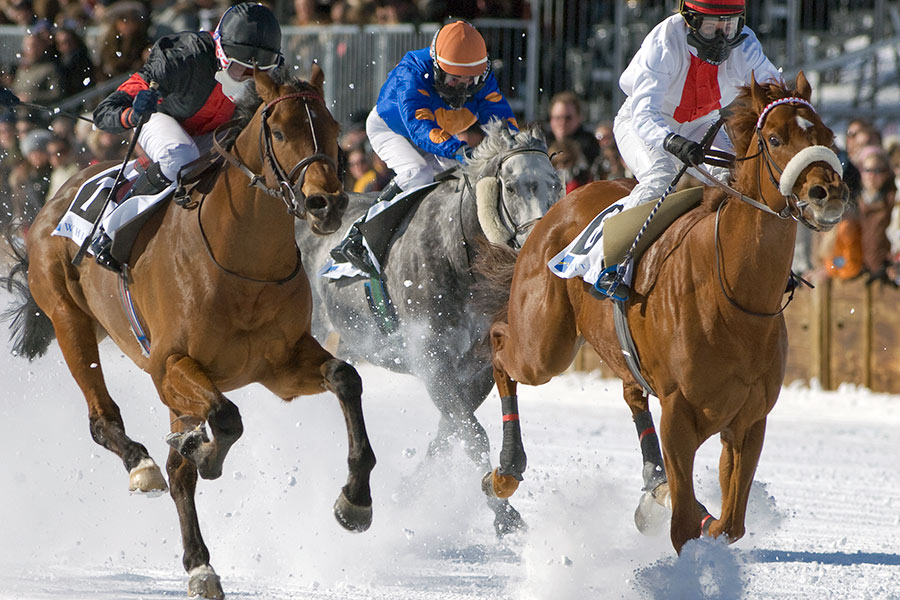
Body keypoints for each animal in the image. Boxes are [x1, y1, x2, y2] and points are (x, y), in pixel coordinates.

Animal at [1, 64, 374, 596]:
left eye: (333, 127)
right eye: (281, 132)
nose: (327, 204)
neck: (241, 261)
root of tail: (55, 199)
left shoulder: (280, 365)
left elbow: (346, 377)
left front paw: (355, 501)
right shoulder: (170, 364)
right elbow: (226, 418)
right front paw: (204, 451)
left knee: (178, 470)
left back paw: (200, 562)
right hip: (70, 321)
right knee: (107, 421)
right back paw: (145, 469)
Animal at [298, 122, 560, 536]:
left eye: (555, 182)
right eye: (512, 187)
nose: (545, 245)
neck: (459, 253)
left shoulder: (476, 368)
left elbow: (449, 433)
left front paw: (406, 491)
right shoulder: (432, 360)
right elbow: (472, 434)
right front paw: (504, 512)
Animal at [474, 72, 848, 552]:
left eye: (826, 135)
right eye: (775, 138)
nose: (828, 193)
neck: (735, 295)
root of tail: (555, 208)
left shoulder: (748, 420)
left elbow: (728, 524)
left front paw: (687, 509)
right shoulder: (680, 415)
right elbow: (684, 524)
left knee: (631, 393)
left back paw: (653, 484)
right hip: (542, 345)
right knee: (500, 344)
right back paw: (504, 471)